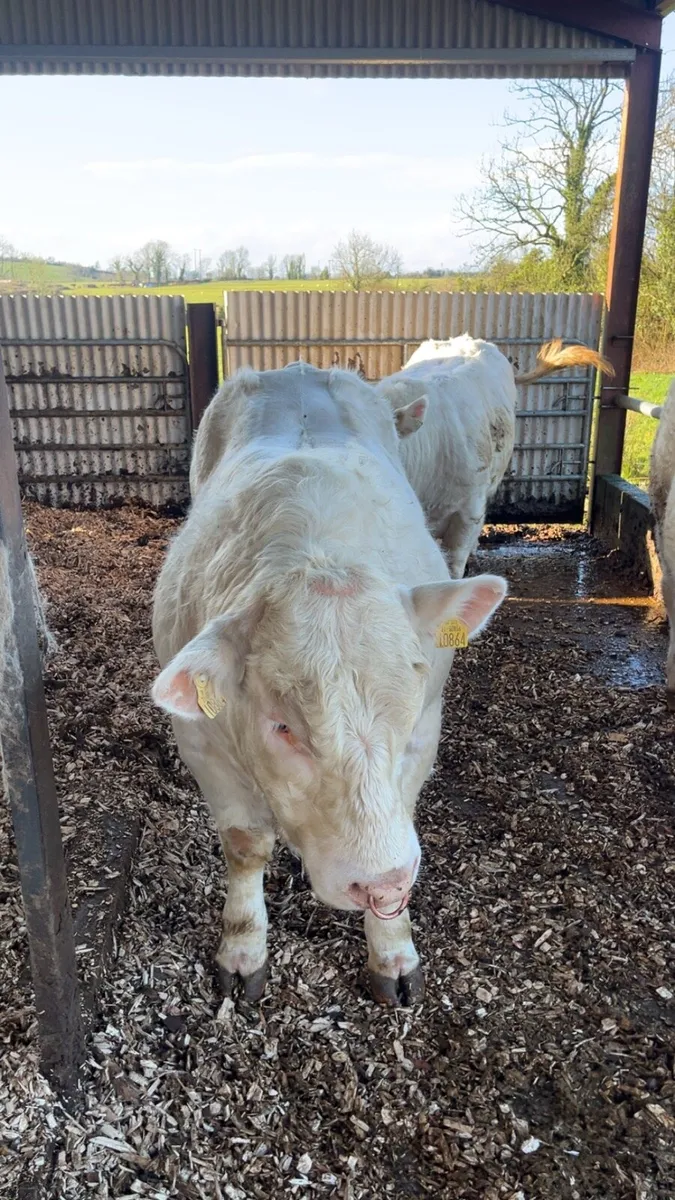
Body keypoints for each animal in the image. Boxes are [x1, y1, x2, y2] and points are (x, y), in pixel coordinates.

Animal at [151, 362, 507, 1006]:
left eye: (405, 717)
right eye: (283, 726)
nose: (376, 879)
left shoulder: (427, 734)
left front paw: (393, 950)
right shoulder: (201, 745)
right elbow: (245, 847)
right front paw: (243, 947)